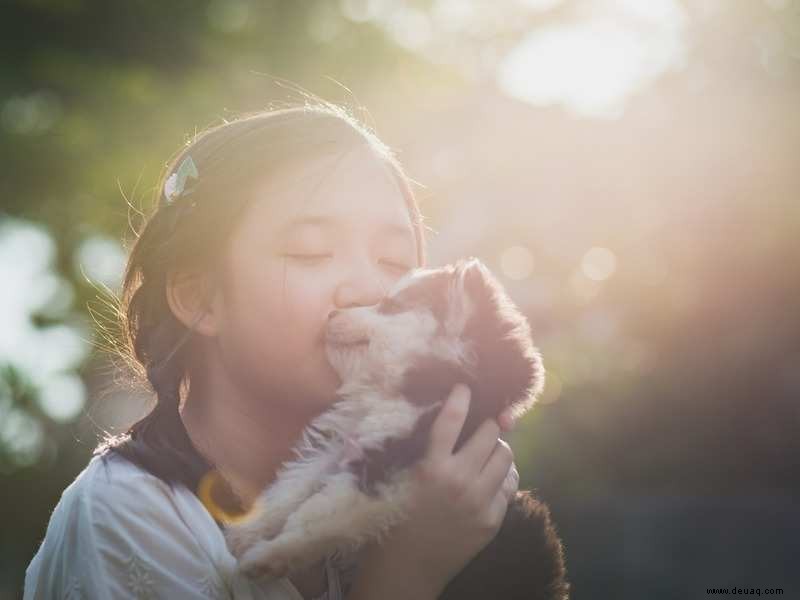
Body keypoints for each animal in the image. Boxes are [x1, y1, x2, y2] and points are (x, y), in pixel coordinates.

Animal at [222, 255, 564, 596]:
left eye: (389, 305)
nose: (332, 312)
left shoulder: (387, 468)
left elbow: (315, 517)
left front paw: (270, 555)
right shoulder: (341, 447)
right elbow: (292, 487)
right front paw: (249, 530)